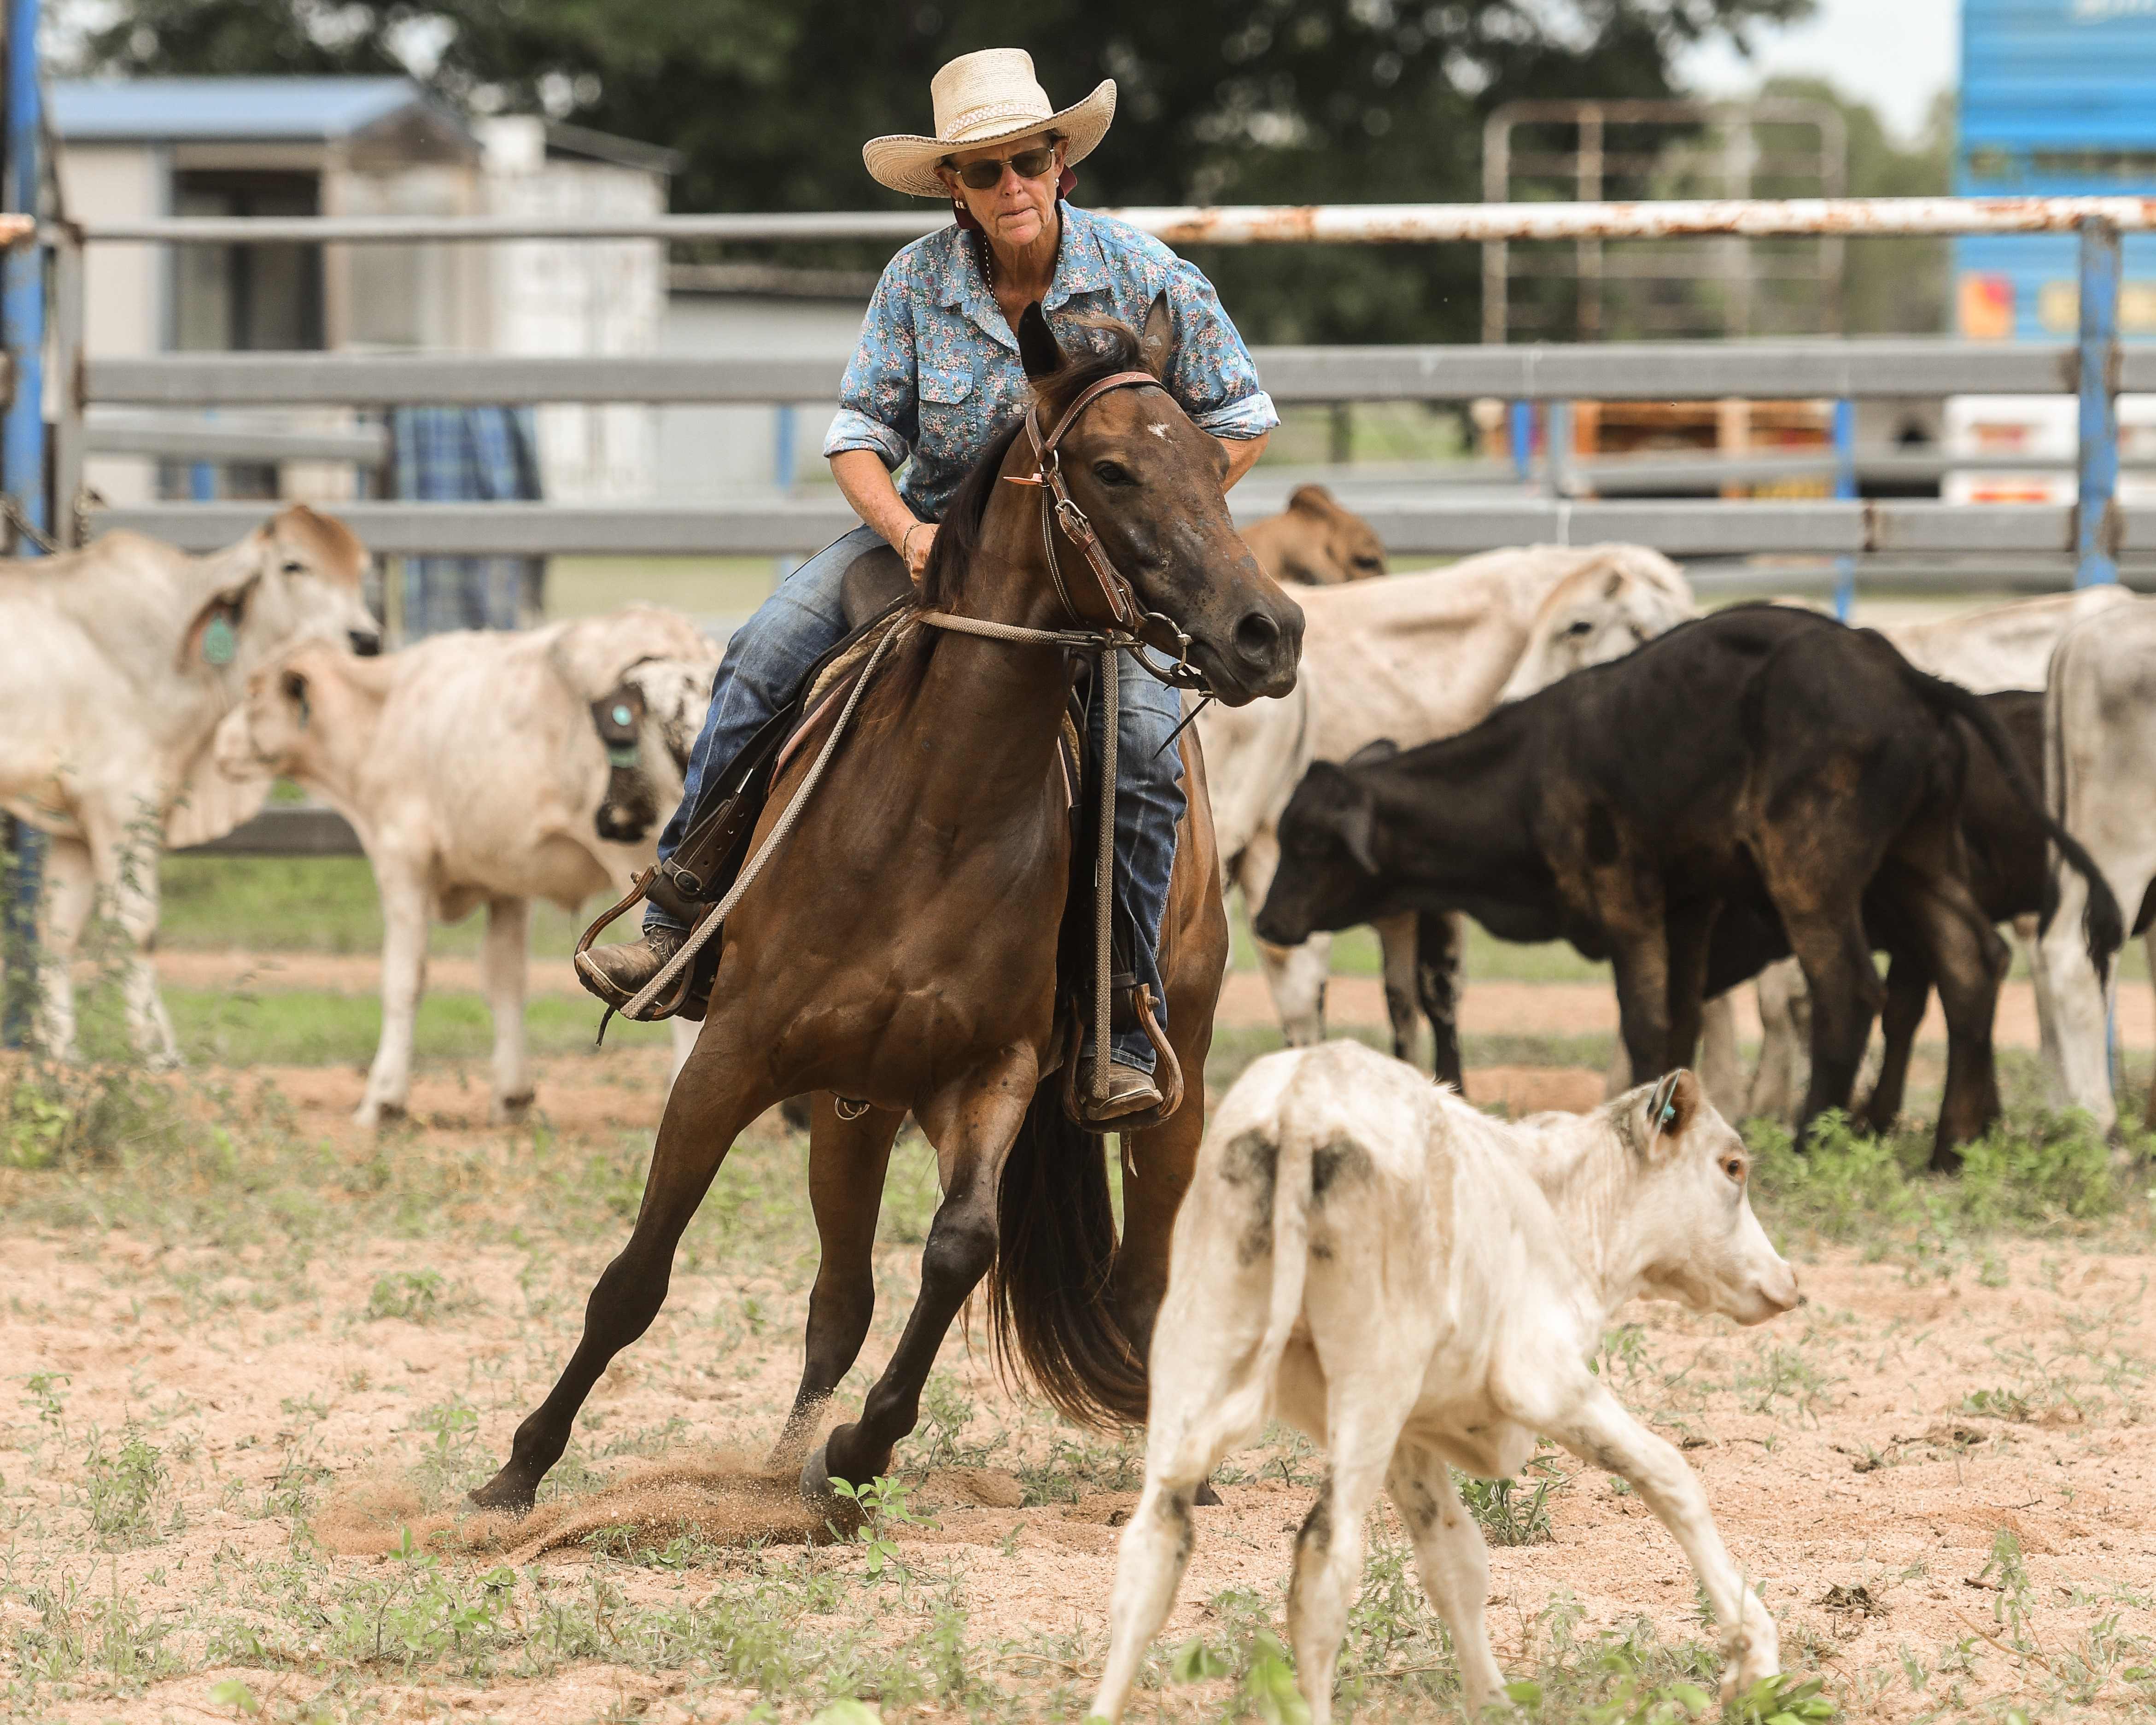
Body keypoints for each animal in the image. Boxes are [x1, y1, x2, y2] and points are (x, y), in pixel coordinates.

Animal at [470, 297, 1304, 1514]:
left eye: (1209, 458)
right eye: (1111, 470)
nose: (1268, 632)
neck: (932, 813)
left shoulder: (994, 1069)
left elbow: (960, 1246)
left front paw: (861, 1452)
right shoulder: (734, 1057)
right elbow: (638, 1277)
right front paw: (519, 1469)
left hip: (1171, 1087)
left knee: (1144, 1284)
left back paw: (1172, 1470)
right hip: (849, 1104)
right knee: (837, 1299)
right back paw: (778, 1466)